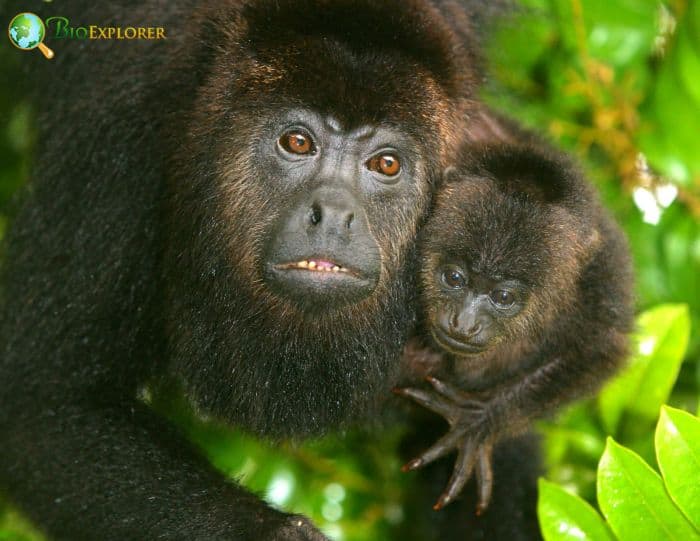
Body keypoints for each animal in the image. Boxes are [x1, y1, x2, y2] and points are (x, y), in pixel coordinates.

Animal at [394, 143, 636, 516]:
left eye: (503, 297)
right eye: (454, 277)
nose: (463, 324)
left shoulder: (597, 284)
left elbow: (603, 350)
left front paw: (479, 423)